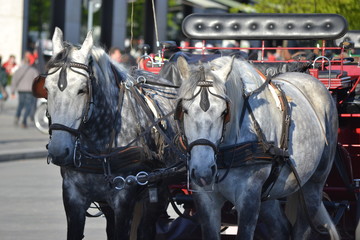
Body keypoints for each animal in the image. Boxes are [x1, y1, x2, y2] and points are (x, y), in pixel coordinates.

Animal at [44, 27, 178, 240]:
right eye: (46, 88)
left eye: (82, 89)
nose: (58, 150)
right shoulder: (73, 197)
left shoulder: (124, 197)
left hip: (158, 192)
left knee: (146, 229)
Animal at [176, 55, 338, 240]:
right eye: (185, 110)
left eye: (224, 112)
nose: (203, 172)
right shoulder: (204, 197)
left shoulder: (249, 196)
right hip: (269, 193)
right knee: (281, 229)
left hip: (313, 185)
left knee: (302, 227)